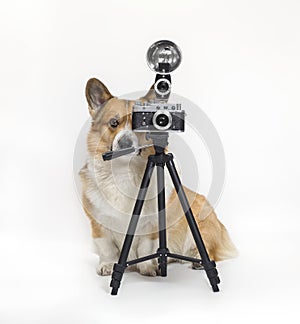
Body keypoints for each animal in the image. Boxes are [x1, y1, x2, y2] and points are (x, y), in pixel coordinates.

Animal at [79, 78, 237, 276]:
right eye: (113, 123)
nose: (125, 143)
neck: (124, 171)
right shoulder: (99, 223)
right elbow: (107, 247)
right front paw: (108, 265)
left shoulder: (152, 225)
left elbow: (145, 247)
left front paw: (148, 267)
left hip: (201, 225)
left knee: (206, 249)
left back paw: (198, 261)